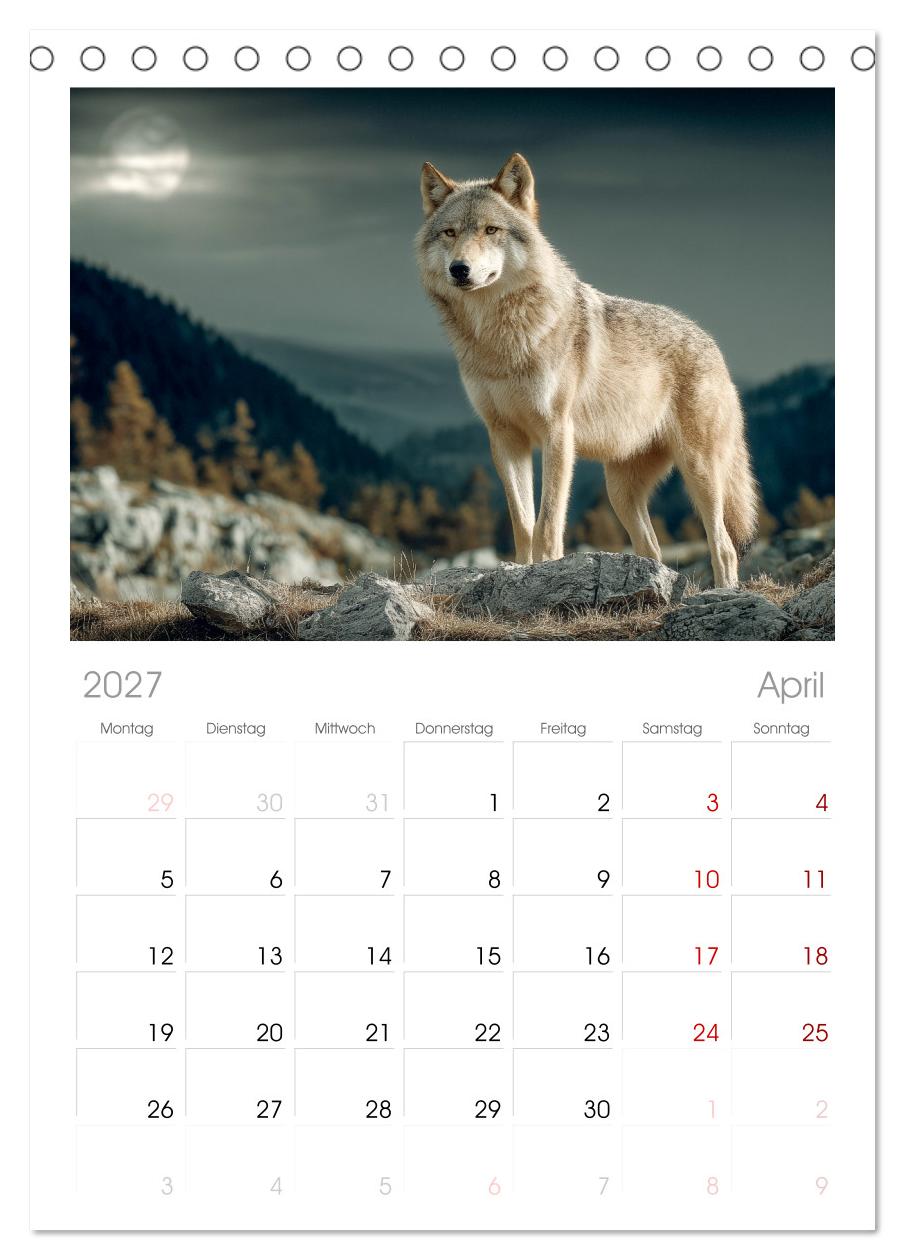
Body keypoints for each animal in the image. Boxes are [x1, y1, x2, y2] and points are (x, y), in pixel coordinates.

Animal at [416, 153, 758, 587]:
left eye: (491, 230)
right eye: (450, 232)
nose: (460, 269)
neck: (500, 341)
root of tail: (712, 344)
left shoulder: (558, 433)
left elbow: (547, 524)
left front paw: (545, 569)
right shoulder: (504, 437)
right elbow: (522, 522)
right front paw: (520, 570)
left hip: (700, 474)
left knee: (725, 546)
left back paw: (721, 591)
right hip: (620, 491)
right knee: (653, 548)